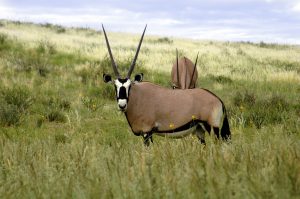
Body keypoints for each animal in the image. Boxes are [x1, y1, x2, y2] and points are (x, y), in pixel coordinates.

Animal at [102, 25, 231, 146]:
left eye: (130, 86)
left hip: (213, 128)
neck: (137, 97)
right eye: (115, 86)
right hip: (199, 129)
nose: (122, 105)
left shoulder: (147, 132)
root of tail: (217, 99)